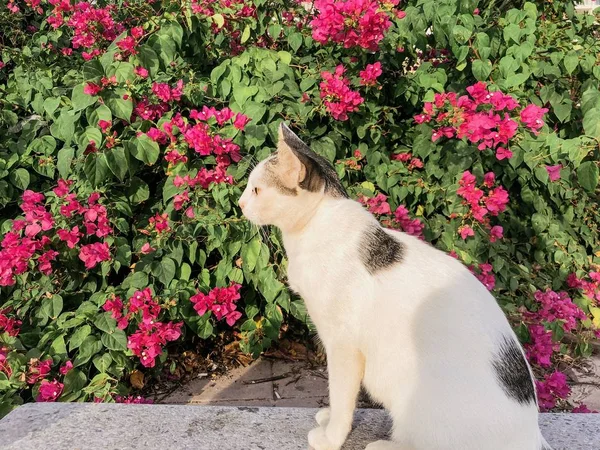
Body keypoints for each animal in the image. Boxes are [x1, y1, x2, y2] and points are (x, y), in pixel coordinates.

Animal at [237, 122, 552, 450]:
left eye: (256, 189)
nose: (240, 203)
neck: (313, 228)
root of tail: (529, 435)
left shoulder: (343, 346)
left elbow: (341, 396)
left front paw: (331, 437)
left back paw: (383, 445)